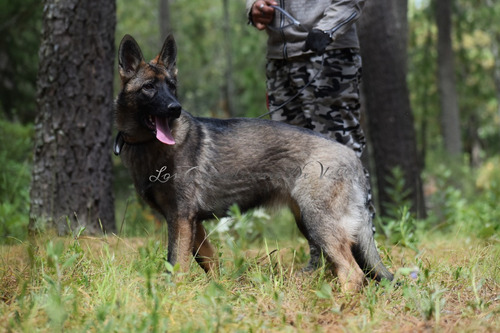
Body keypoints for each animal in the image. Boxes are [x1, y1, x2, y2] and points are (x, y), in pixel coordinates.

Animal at [115, 33, 392, 288]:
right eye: (149, 87)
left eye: (171, 86)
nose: (175, 108)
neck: (148, 146)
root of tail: (352, 156)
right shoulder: (191, 224)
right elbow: (209, 261)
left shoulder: (181, 219)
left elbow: (175, 265)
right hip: (308, 222)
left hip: (318, 222)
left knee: (352, 273)